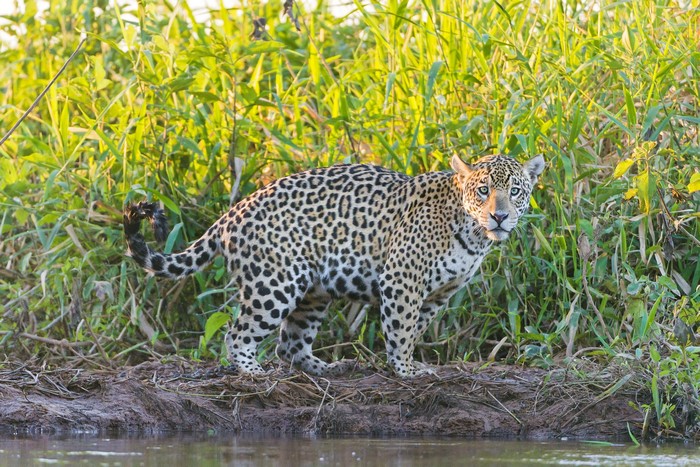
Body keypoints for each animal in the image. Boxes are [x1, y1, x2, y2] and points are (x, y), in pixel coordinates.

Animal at [124, 154, 545, 377]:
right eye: (483, 191)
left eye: (515, 191)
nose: (500, 217)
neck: (472, 235)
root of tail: (233, 212)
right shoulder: (402, 280)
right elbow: (402, 329)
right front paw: (406, 370)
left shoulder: (438, 295)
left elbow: (414, 329)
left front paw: (406, 363)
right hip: (274, 284)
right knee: (238, 333)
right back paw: (253, 372)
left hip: (313, 292)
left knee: (290, 343)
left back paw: (327, 368)